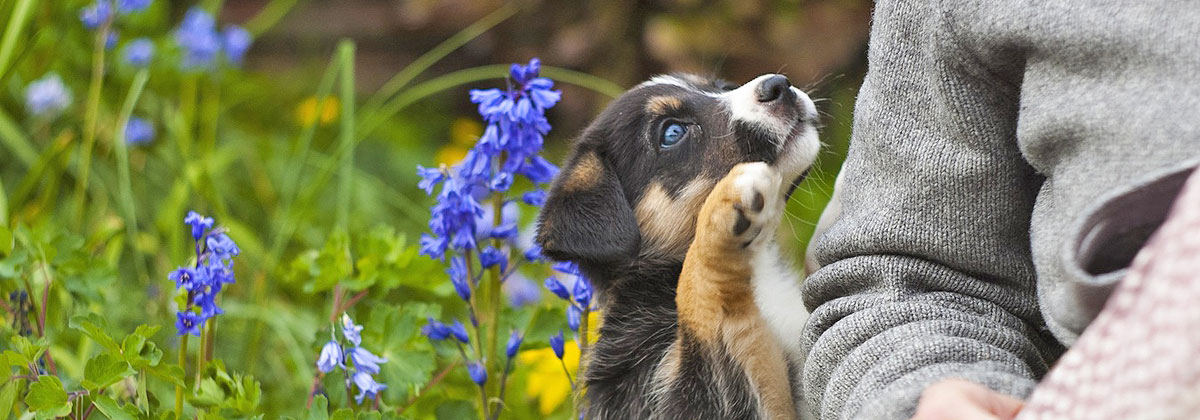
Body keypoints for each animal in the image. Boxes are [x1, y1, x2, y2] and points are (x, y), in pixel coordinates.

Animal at [540, 73, 820, 417]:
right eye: (672, 133)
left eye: (722, 87)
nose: (779, 85)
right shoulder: (682, 398)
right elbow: (698, 291)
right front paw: (722, 205)